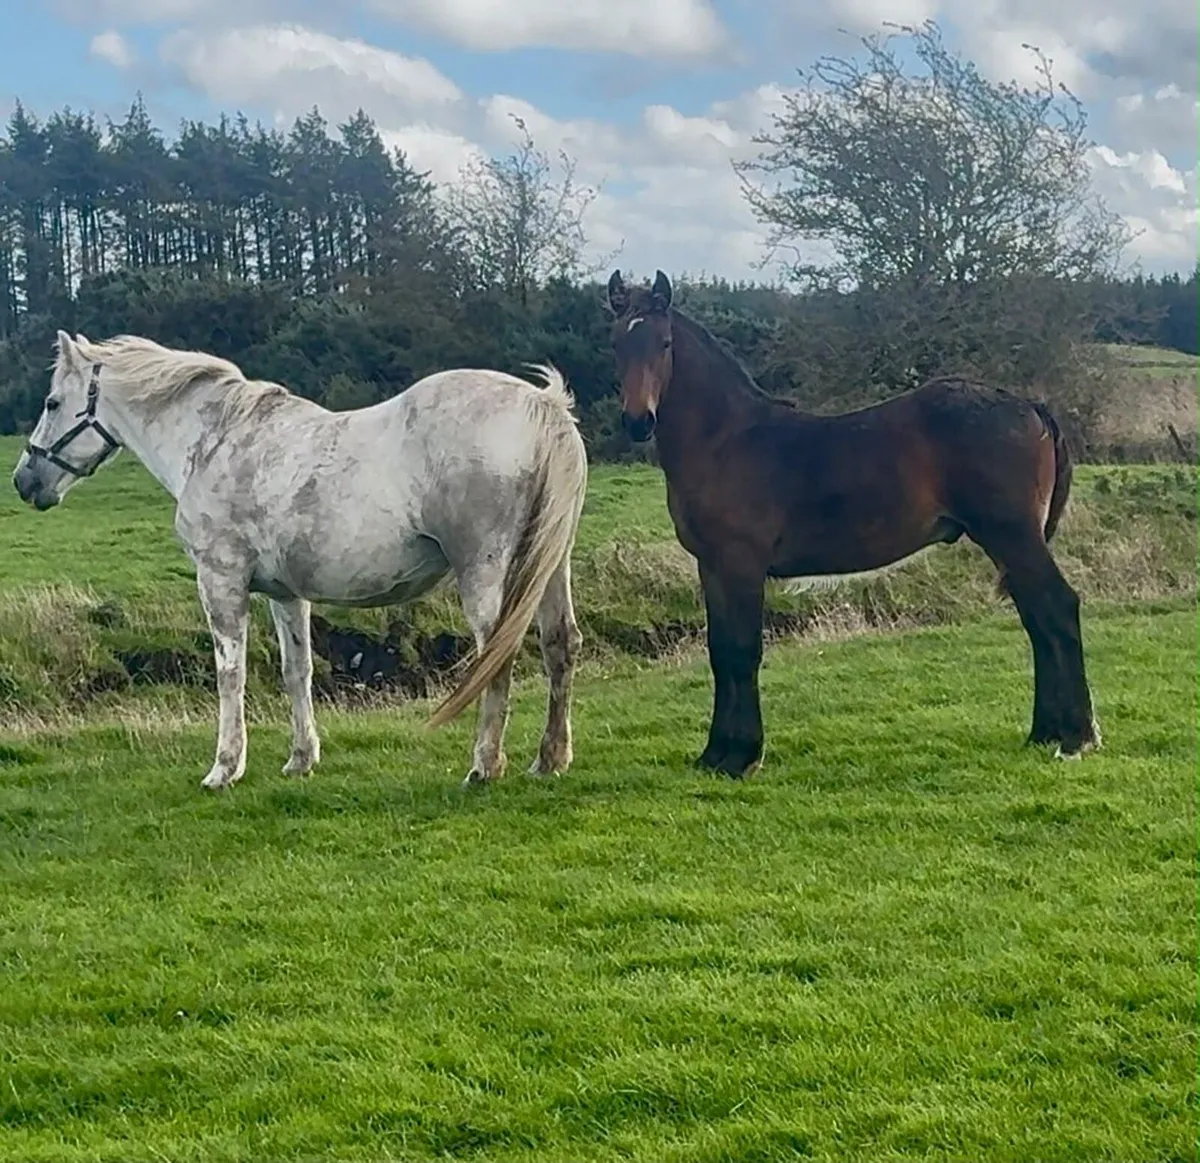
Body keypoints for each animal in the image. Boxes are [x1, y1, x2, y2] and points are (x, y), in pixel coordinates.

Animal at [12, 332, 588, 791]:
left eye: (52, 402)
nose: (25, 481)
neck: (215, 441)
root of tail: (543, 405)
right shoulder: (286, 594)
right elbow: (297, 671)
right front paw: (301, 759)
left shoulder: (220, 581)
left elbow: (231, 674)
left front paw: (224, 768)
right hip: (549, 567)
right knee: (559, 644)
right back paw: (550, 759)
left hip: (484, 571)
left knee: (498, 657)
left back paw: (484, 766)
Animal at [605, 269, 1100, 777]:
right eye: (616, 343)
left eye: (664, 342)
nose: (638, 421)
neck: (725, 441)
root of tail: (1031, 407)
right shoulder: (712, 566)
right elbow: (721, 652)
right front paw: (715, 754)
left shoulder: (741, 563)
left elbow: (743, 650)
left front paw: (742, 755)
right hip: (1009, 544)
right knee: (1038, 618)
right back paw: (1044, 732)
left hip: (1014, 536)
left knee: (1058, 608)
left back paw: (1076, 737)